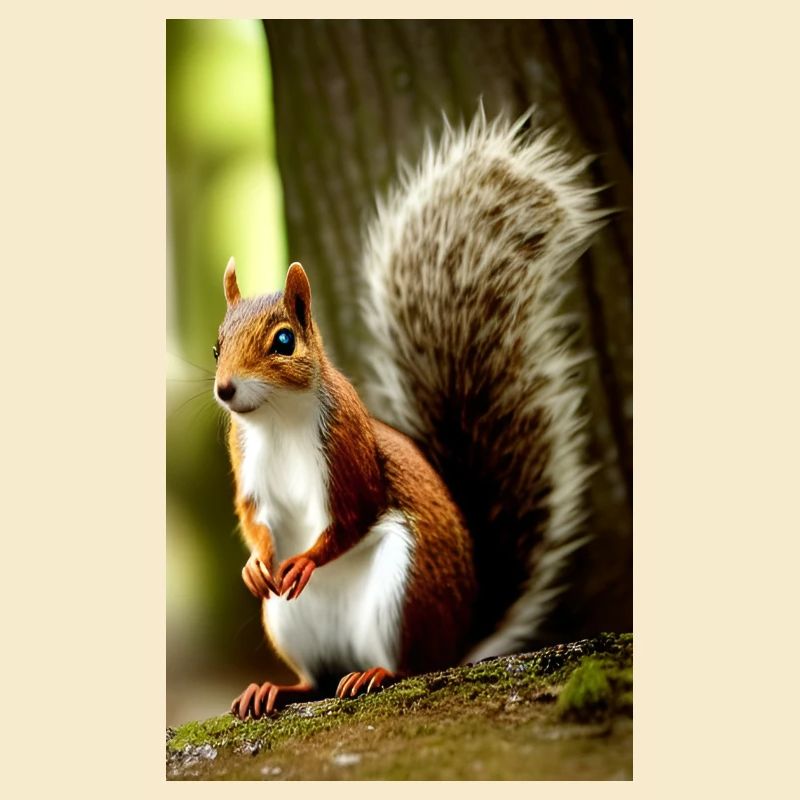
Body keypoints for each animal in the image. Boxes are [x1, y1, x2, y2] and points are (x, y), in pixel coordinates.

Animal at [213, 110, 606, 719]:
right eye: (216, 346)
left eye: (284, 340)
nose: (225, 389)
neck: (276, 420)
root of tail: (458, 638)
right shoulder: (246, 457)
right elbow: (251, 512)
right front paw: (257, 564)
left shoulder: (346, 449)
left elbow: (354, 514)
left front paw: (305, 561)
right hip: (289, 619)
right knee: (314, 680)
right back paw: (275, 688)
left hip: (406, 589)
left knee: (408, 666)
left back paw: (373, 673)